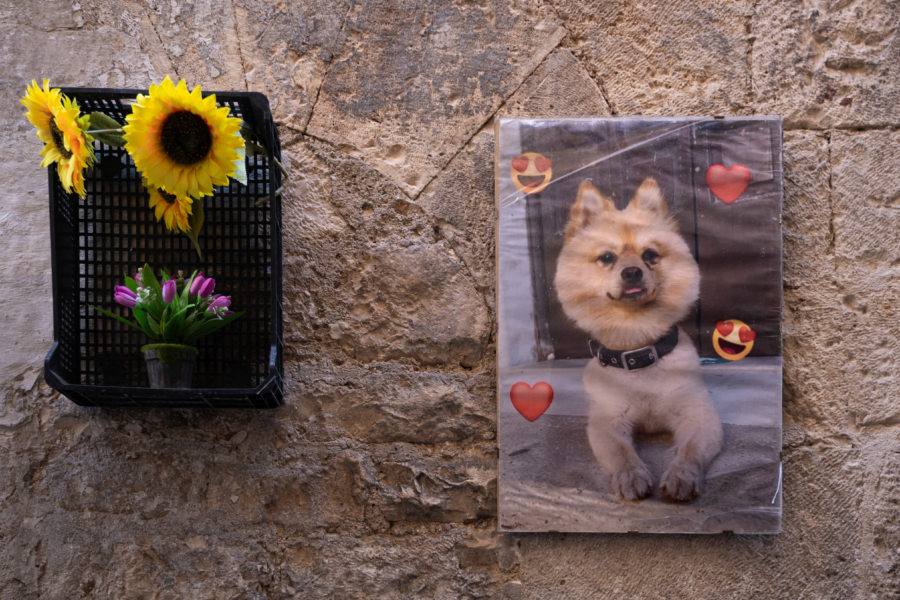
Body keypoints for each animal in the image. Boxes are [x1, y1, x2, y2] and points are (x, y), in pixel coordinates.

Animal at [556, 179, 724, 502]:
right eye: (607, 258)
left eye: (650, 255)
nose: (632, 271)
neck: (636, 345)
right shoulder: (607, 422)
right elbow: (622, 453)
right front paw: (631, 477)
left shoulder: (698, 415)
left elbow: (690, 451)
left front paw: (682, 476)